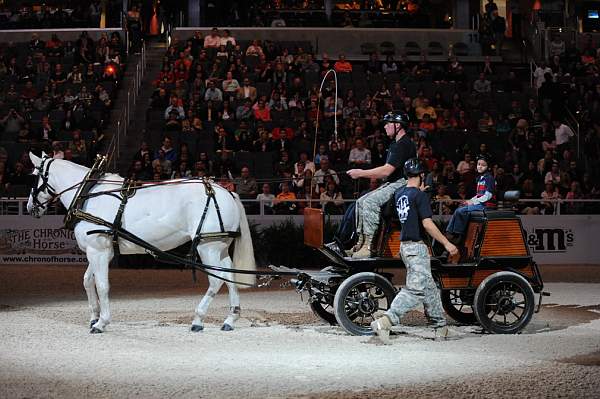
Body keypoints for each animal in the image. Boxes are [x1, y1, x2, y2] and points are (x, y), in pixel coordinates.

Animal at [26, 153, 255, 334]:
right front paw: (94, 316)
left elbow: (102, 285)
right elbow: (87, 281)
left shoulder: (98, 250)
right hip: (220, 246)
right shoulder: (100, 251)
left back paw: (198, 319)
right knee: (229, 276)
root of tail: (227, 192)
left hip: (207, 247)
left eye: (34, 176)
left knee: (216, 281)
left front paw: (101, 323)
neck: (88, 193)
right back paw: (230, 319)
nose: (29, 207)